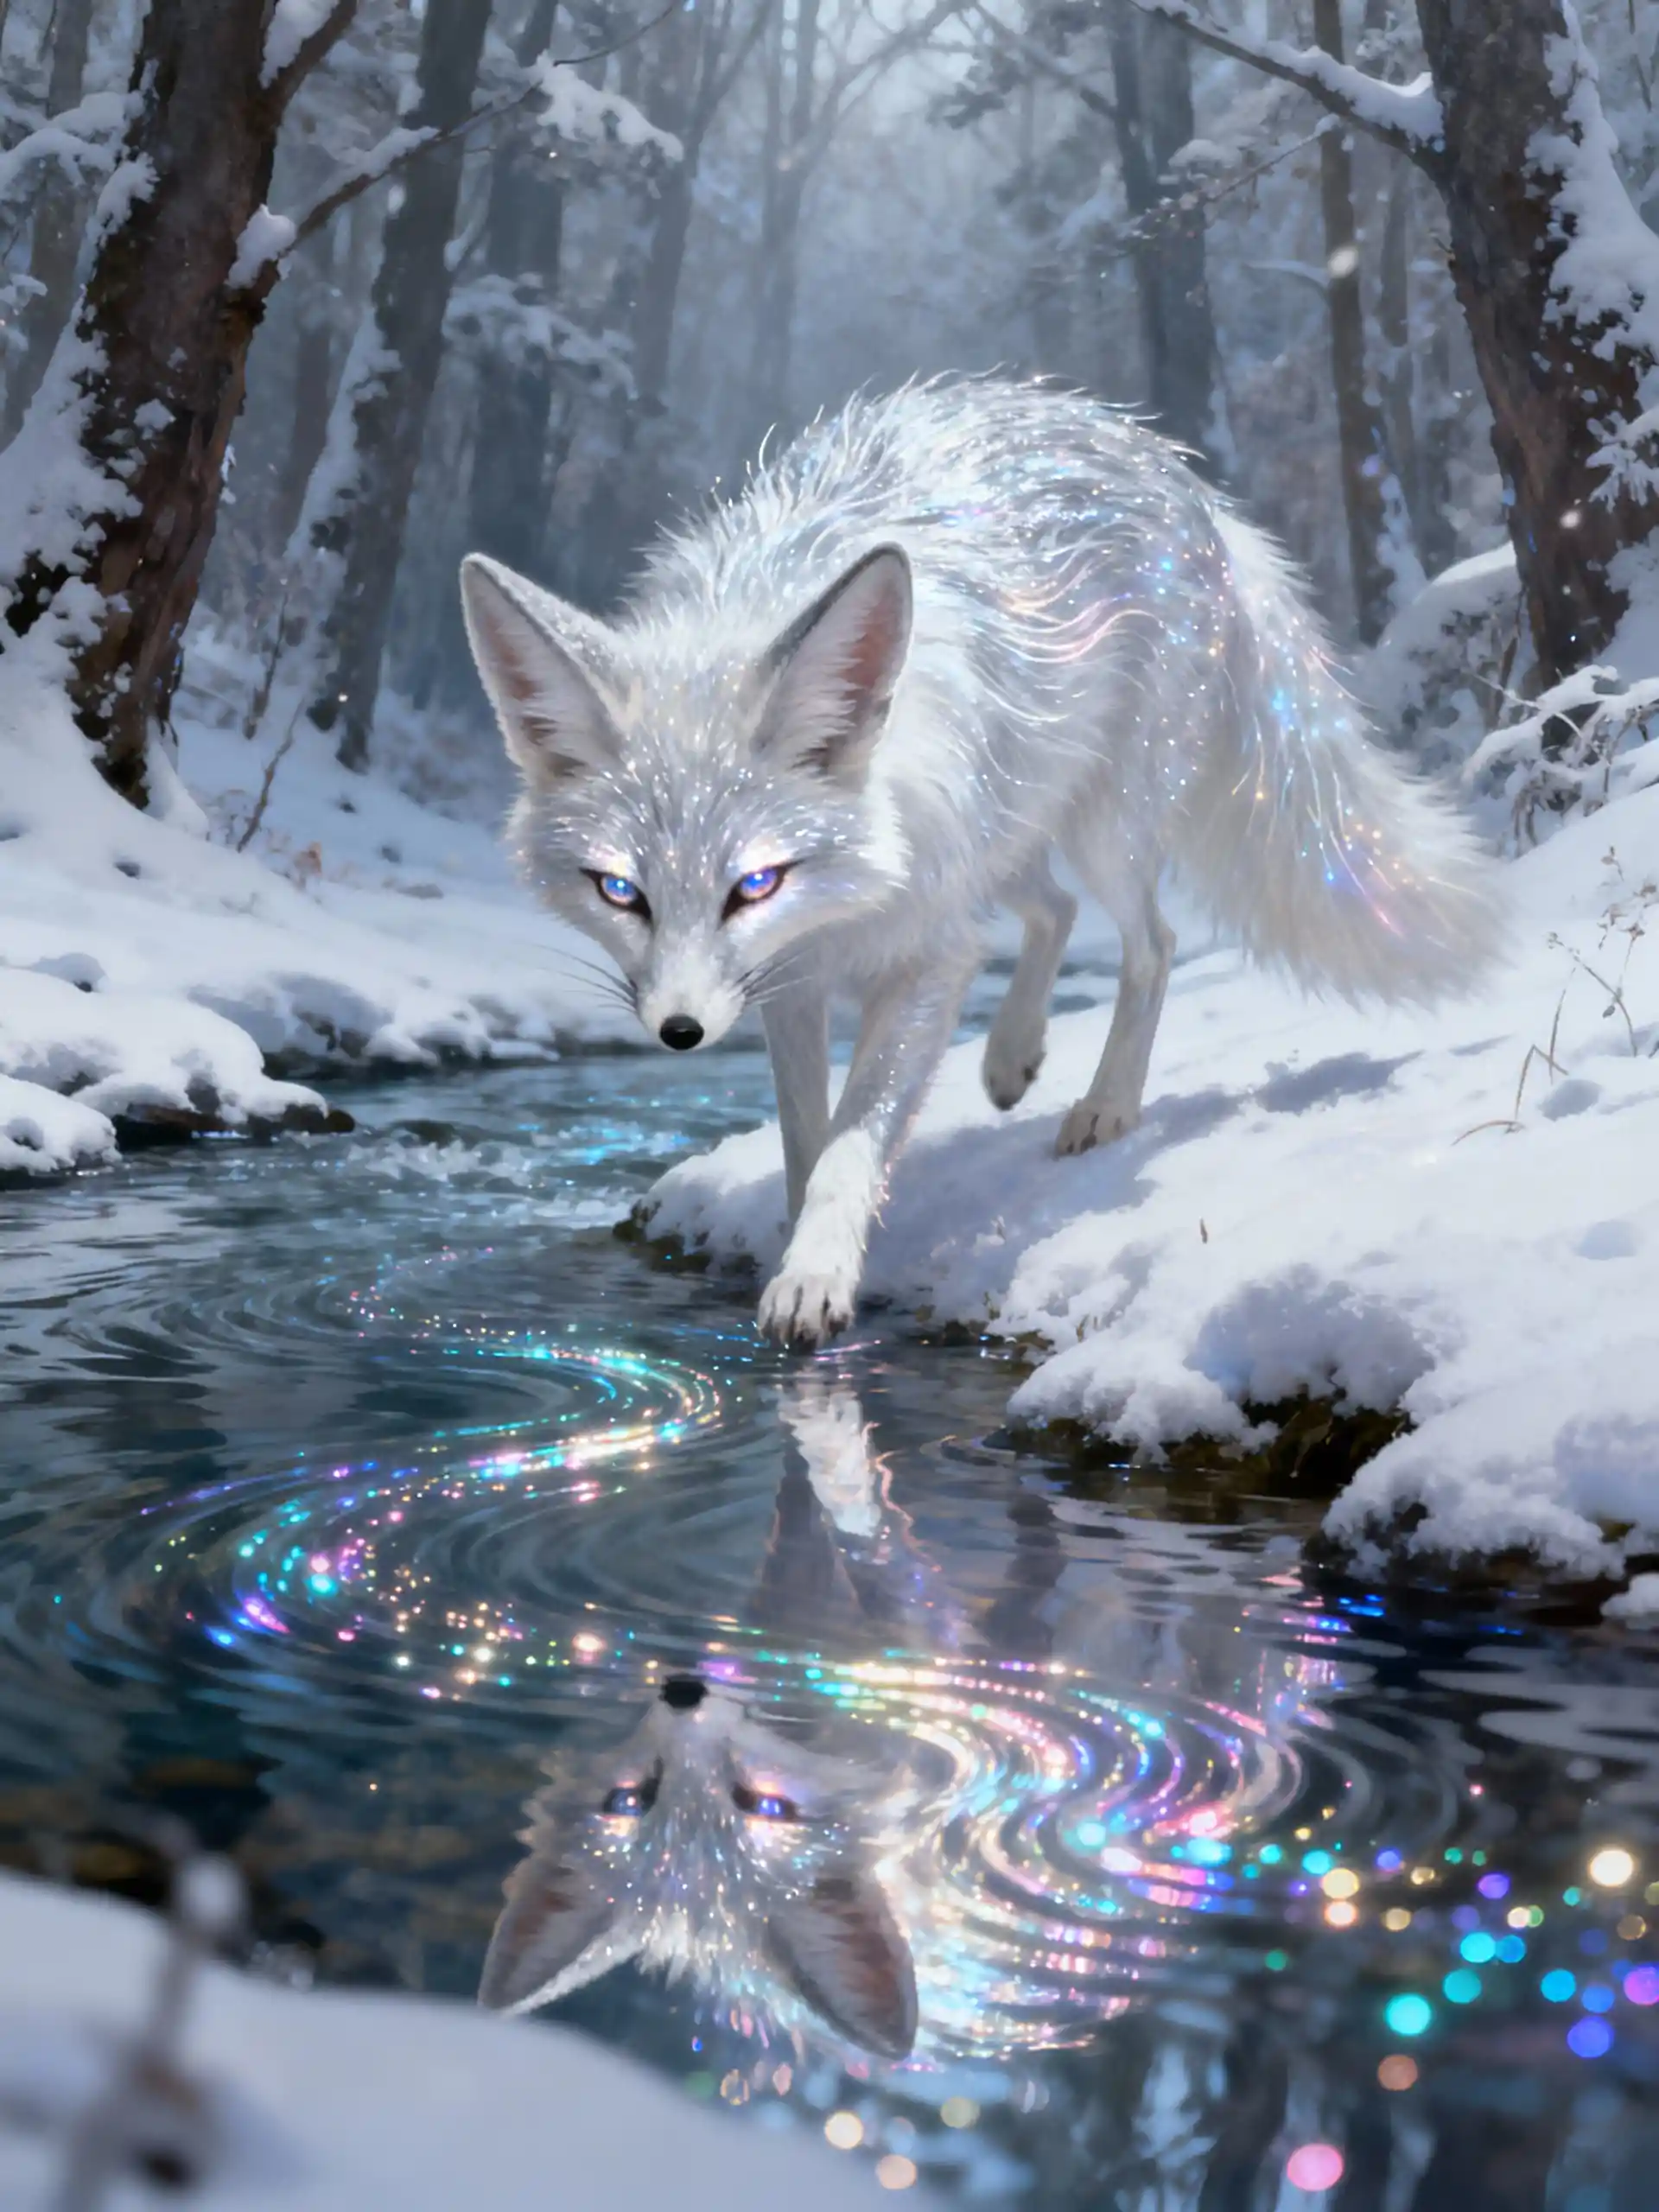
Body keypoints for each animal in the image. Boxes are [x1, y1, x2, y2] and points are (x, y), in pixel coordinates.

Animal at [460, 378, 1499, 1351]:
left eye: (754, 884)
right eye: (620, 891)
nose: (679, 1032)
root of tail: (1180, 477)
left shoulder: (926, 957)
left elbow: (850, 1146)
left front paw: (816, 1278)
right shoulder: (791, 981)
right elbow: (805, 1141)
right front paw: (801, 1245)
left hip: (1099, 830)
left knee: (1151, 942)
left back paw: (1105, 1106)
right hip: (1003, 833)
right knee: (1054, 912)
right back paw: (1011, 1057)